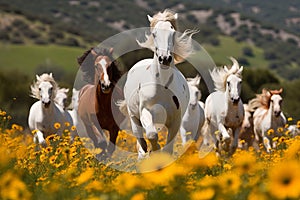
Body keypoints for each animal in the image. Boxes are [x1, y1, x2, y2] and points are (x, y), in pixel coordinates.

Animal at [118, 9, 196, 159]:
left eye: (173, 32)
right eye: (154, 33)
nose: (164, 59)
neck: (162, 87)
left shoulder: (175, 122)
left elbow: (168, 149)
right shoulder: (145, 113)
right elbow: (151, 135)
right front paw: (155, 151)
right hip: (134, 118)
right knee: (141, 143)